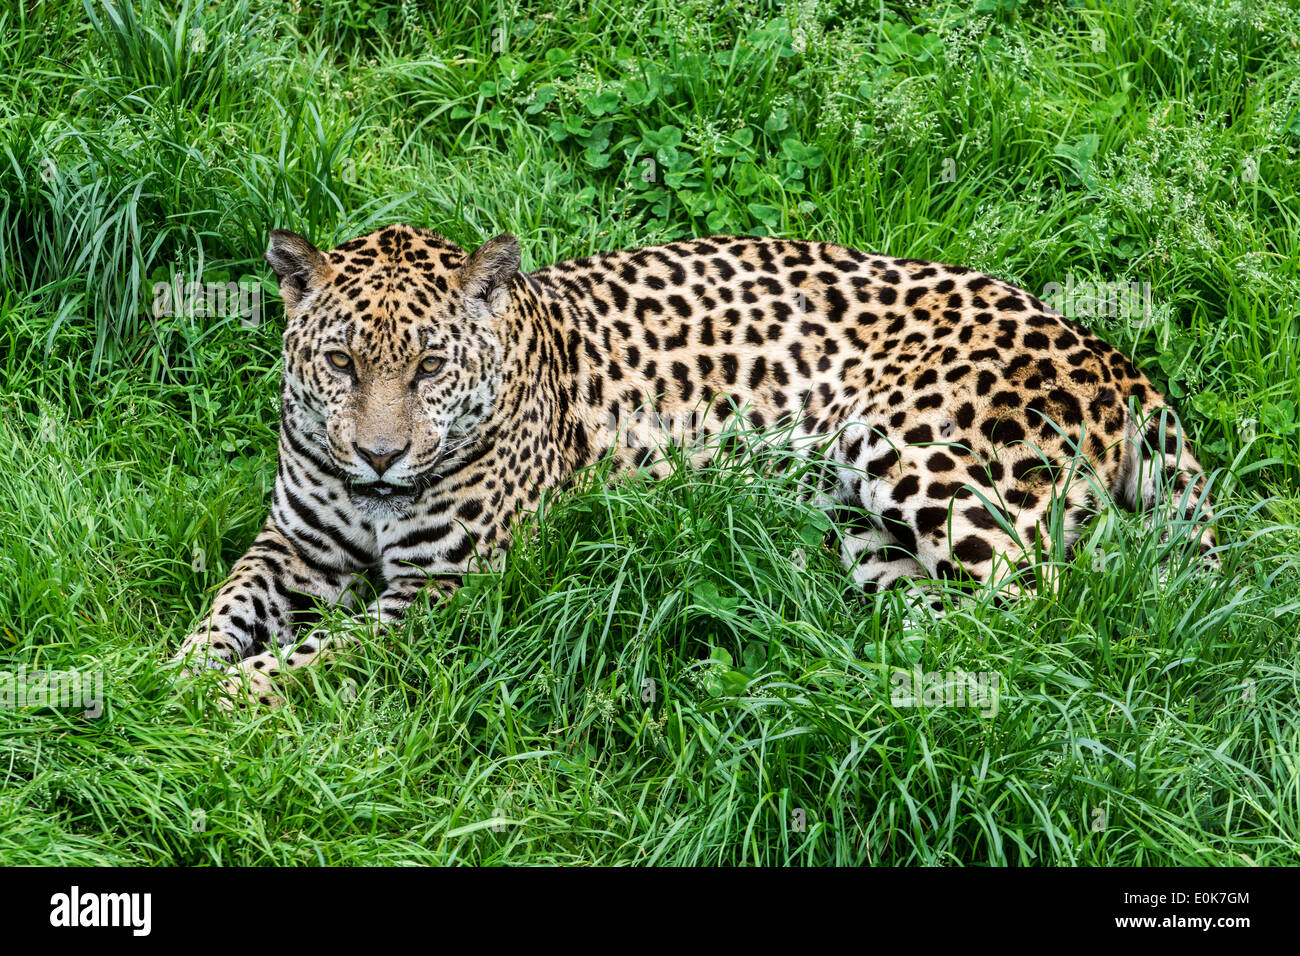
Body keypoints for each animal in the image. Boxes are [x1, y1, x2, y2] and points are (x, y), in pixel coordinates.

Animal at [171, 224, 1218, 708]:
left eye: (430, 366)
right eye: (341, 362)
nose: (380, 456)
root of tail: (1111, 353)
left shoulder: (440, 594)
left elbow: (321, 652)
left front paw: (225, 695)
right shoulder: (295, 548)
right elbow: (226, 606)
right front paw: (169, 671)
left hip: (909, 451)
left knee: (1041, 614)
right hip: (860, 527)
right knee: (951, 616)